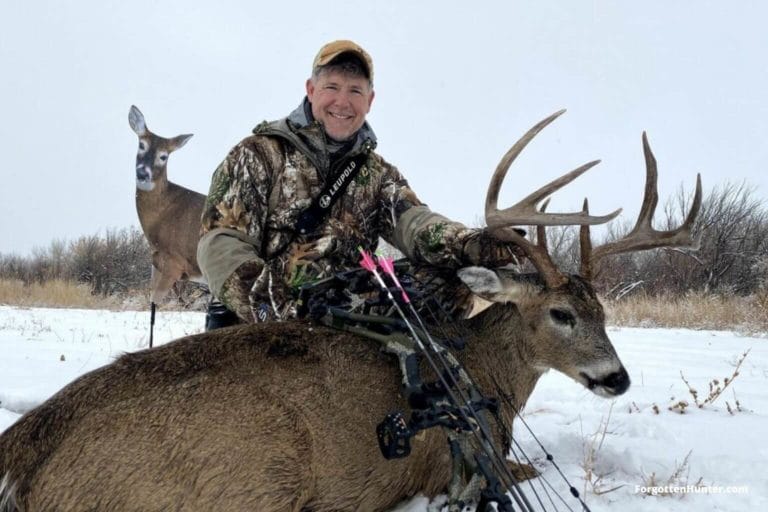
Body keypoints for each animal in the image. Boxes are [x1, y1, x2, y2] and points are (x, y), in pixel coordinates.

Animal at [128, 106, 208, 344]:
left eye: (164, 156)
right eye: (141, 145)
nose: (143, 173)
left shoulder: (175, 263)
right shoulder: (156, 264)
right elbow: (152, 308)